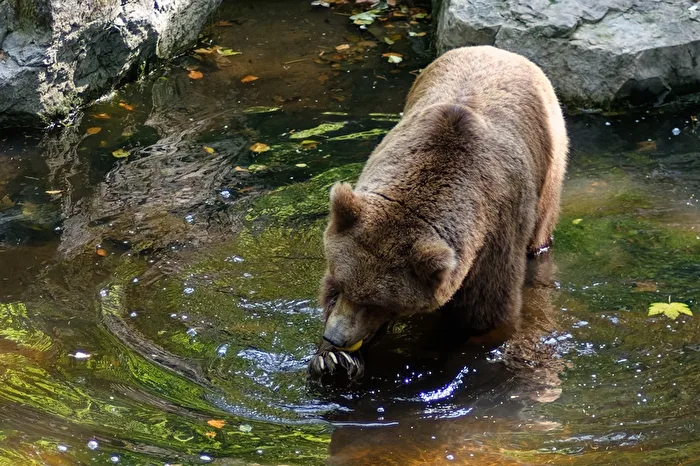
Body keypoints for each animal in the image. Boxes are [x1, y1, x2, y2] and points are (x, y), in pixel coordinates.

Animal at [308, 45, 568, 379]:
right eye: (341, 284)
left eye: (376, 303)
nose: (336, 336)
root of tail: (498, 50)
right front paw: (332, 359)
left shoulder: (494, 236)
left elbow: (487, 317)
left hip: (548, 174)